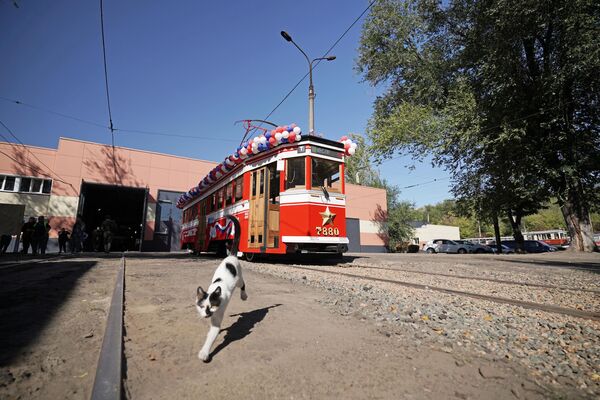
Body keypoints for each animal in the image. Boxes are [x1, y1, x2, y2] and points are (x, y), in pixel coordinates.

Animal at [195, 216, 246, 362]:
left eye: (212, 306)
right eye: (202, 306)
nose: (207, 313)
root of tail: (231, 256)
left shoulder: (216, 320)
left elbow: (211, 337)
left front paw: (204, 353)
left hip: (239, 280)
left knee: (243, 285)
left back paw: (244, 296)